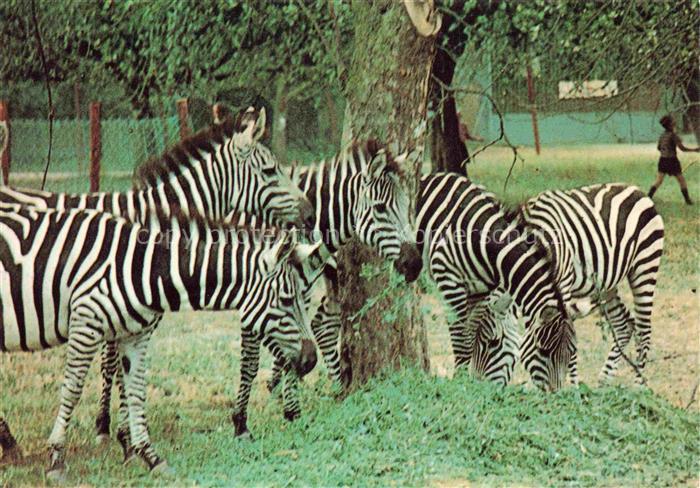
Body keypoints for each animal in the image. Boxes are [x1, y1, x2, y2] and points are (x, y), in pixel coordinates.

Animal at [0, 106, 316, 443]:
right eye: (270, 171)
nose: (310, 215)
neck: (153, 220)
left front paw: (116, 427)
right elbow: (115, 364)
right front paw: (116, 429)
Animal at [0, 203, 320, 479]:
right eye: (286, 300)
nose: (311, 360)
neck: (146, 268)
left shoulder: (135, 335)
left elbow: (136, 391)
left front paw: (149, 455)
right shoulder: (86, 323)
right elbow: (72, 390)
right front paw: (57, 459)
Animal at [235, 140, 424, 426]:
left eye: (407, 206)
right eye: (380, 208)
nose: (415, 265)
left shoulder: (297, 287)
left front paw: (292, 408)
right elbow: (251, 359)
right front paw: (242, 418)